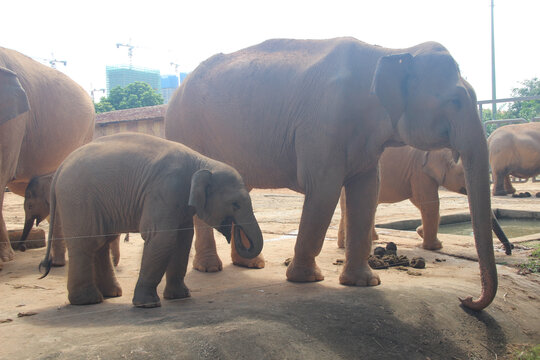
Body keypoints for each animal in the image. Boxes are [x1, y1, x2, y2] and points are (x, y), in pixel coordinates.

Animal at [40, 134, 264, 308]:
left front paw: (180, 297)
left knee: (101, 243)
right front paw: (148, 304)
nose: (233, 228)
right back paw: (88, 301)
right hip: (78, 199)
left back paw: (111, 294)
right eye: (235, 204)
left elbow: (182, 240)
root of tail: (60, 167)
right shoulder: (165, 189)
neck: (201, 161)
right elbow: (161, 238)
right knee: (86, 244)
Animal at [166, 38, 498, 310]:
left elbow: (366, 192)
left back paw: (251, 265)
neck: (389, 52)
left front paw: (364, 283)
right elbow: (323, 189)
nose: (467, 300)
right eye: (455, 101)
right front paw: (305, 279)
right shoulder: (322, 124)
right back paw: (211, 268)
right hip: (187, 129)